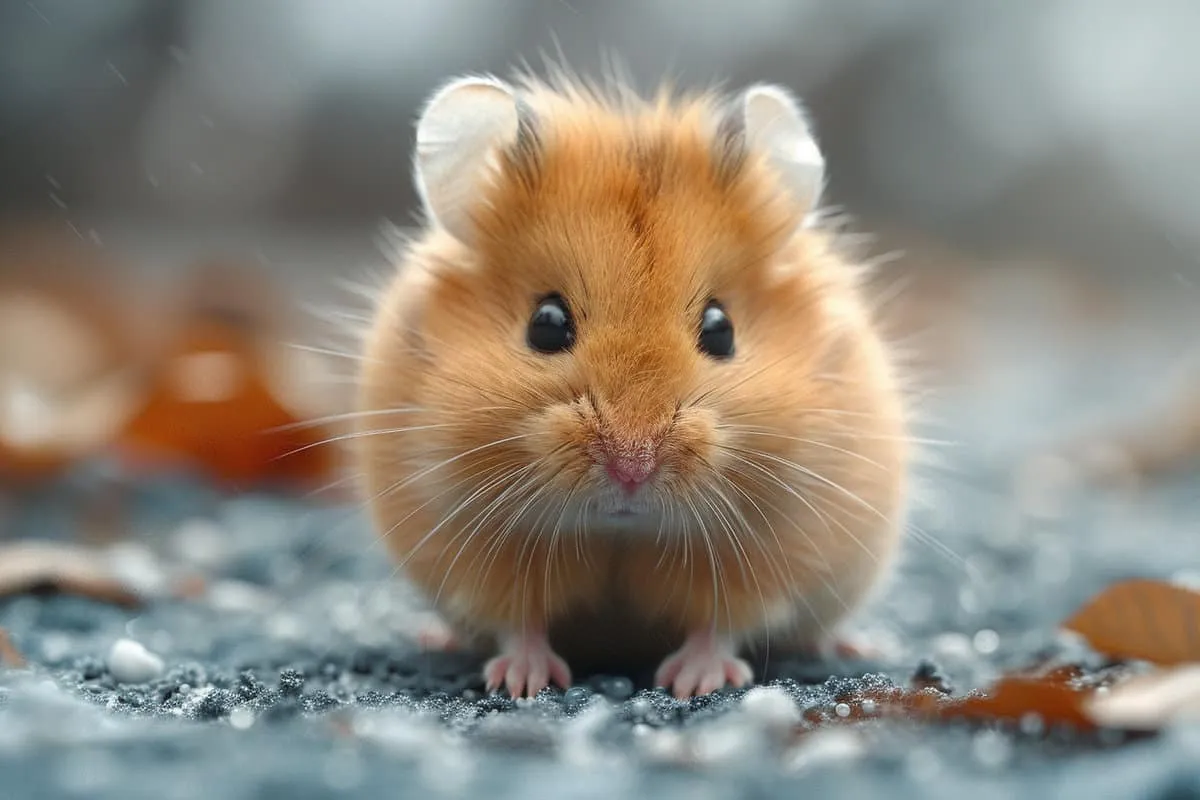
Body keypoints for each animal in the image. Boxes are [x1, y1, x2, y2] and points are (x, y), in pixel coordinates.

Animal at [355, 70, 910, 699]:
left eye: (721, 329)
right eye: (546, 324)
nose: (632, 467)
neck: (620, 534)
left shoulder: (766, 556)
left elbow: (720, 623)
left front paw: (694, 684)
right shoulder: (477, 553)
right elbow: (519, 621)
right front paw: (521, 684)